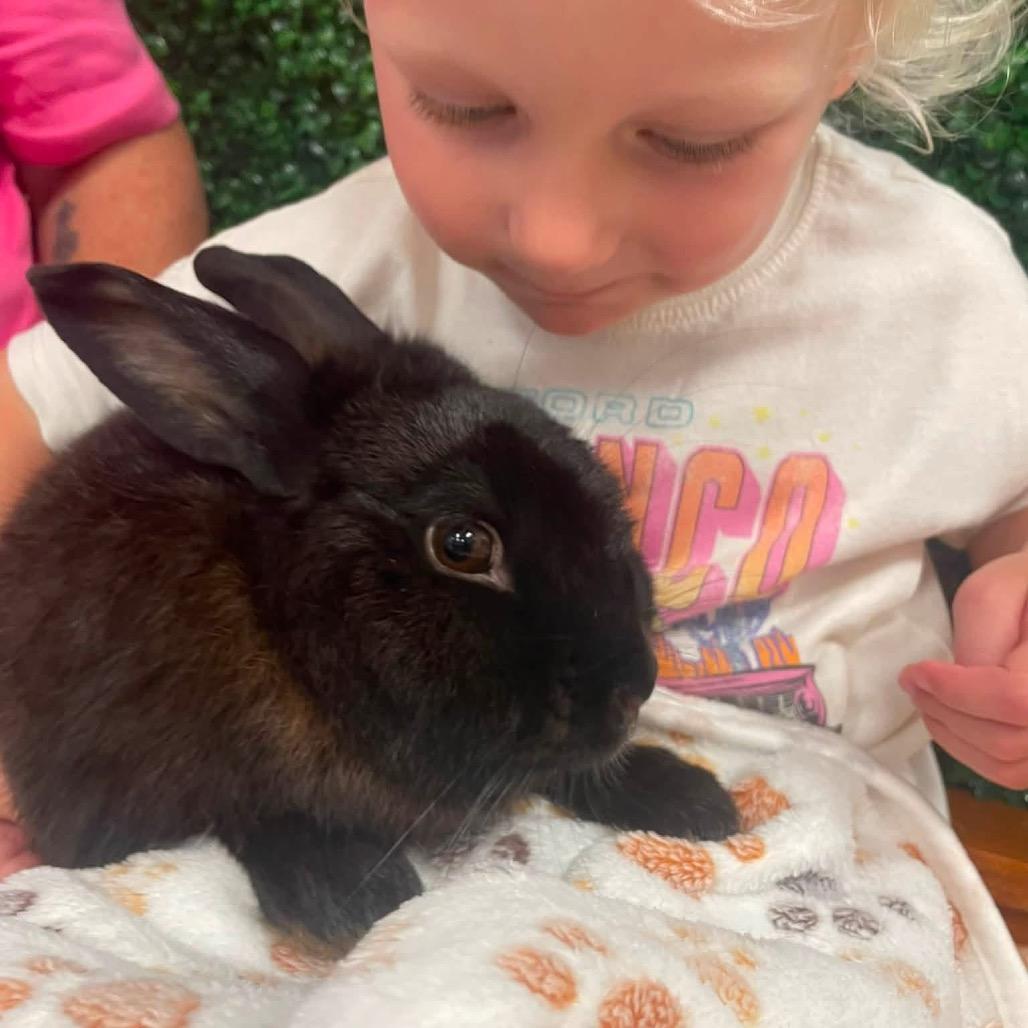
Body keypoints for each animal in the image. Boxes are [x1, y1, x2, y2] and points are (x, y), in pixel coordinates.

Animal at [0, 246, 739, 952]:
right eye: (462, 545)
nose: (636, 688)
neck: (279, 628)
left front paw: (694, 800)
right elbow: (249, 813)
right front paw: (352, 895)